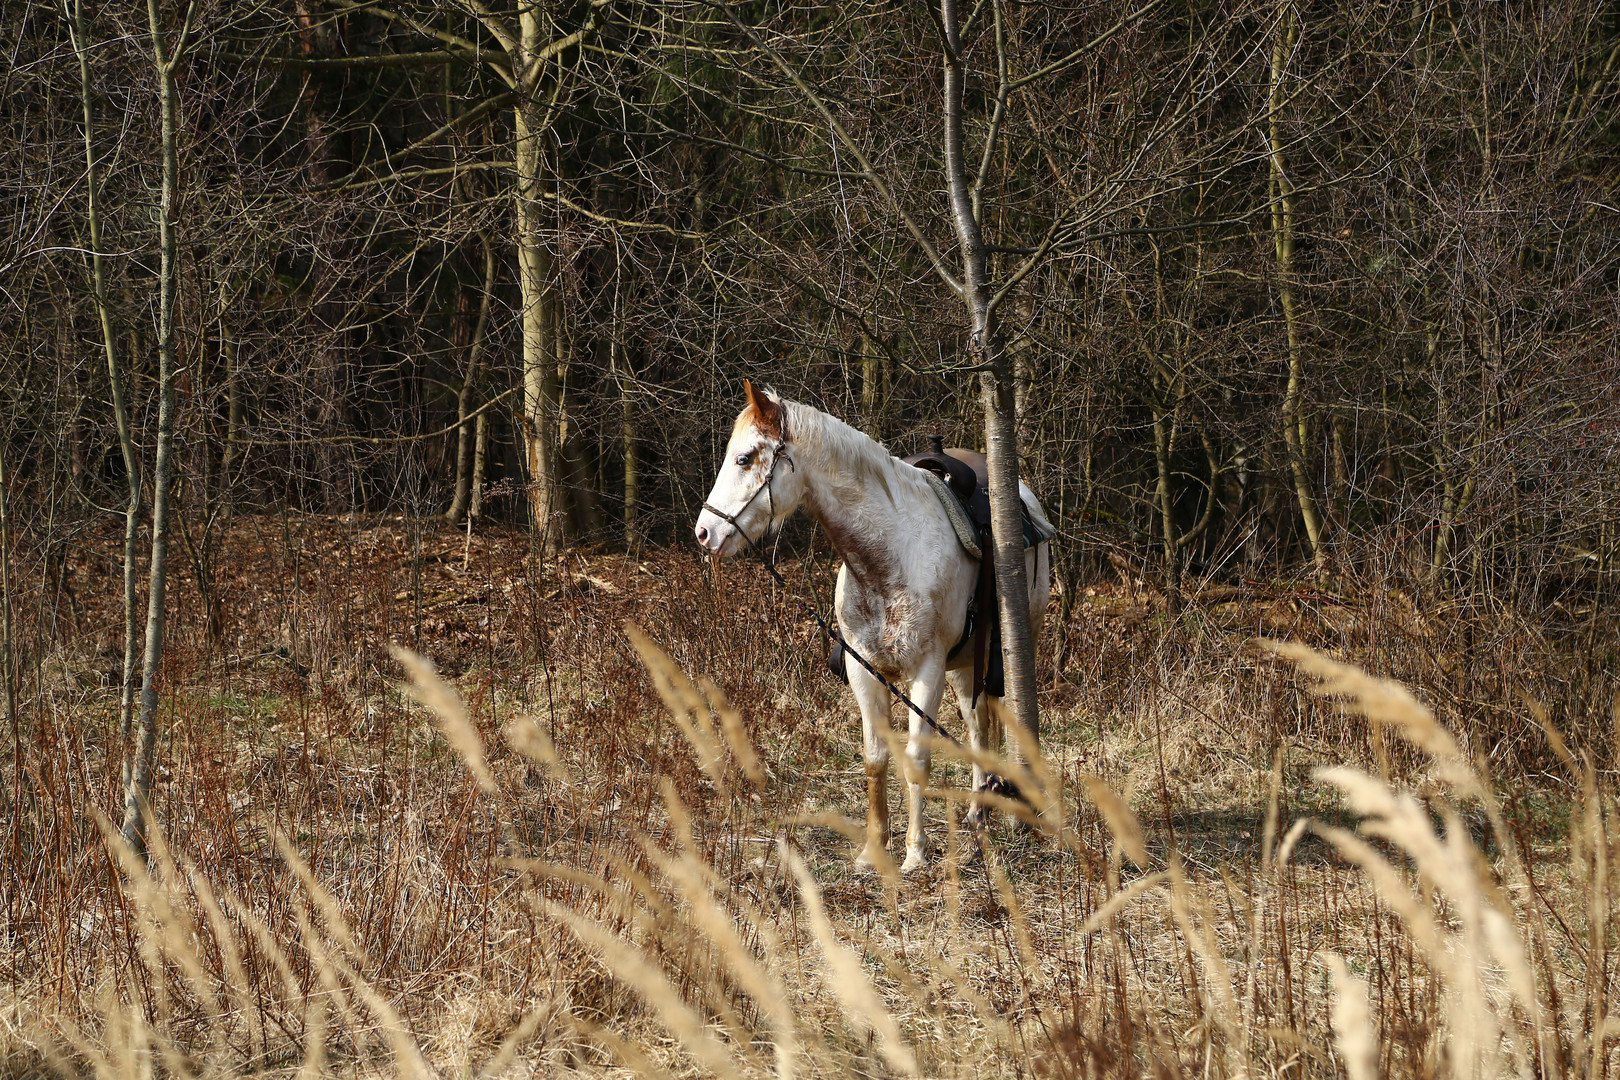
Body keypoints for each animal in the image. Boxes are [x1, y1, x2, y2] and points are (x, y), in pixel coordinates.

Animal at [693, 380, 1049, 867]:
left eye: (745, 458)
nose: (704, 533)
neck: (889, 554)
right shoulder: (865, 671)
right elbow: (876, 758)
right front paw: (872, 849)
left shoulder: (927, 673)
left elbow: (916, 759)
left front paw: (915, 852)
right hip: (964, 666)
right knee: (979, 727)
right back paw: (979, 811)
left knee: (983, 728)